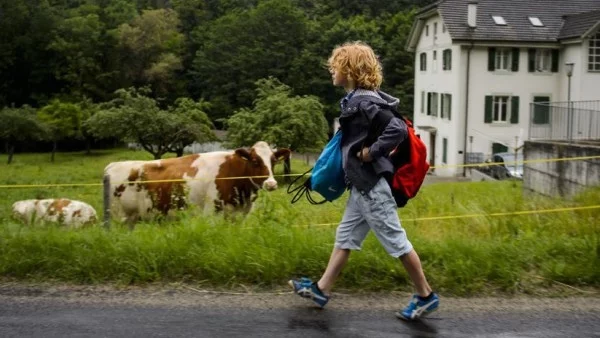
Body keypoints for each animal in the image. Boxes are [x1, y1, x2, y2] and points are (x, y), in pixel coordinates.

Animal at [105, 141, 292, 224]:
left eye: (274, 161)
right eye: (254, 161)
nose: (271, 184)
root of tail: (112, 165)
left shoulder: (238, 216)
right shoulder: (212, 213)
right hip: (116, 216)